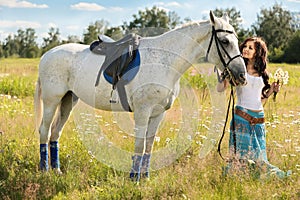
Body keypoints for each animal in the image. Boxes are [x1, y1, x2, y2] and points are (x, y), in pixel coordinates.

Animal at [34, 11, 246, 182]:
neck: (165, 61)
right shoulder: (143, 111)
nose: (242, 75)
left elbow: (149, 145)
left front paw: (145, 177)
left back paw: (57, 171)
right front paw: (133, 179)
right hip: (52, 101)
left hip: (68, 101)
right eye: (225, 41)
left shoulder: (158, 113)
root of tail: (47, 55)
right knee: (44, 130)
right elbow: (139, 145)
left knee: (55, 133)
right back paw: (45, 170)